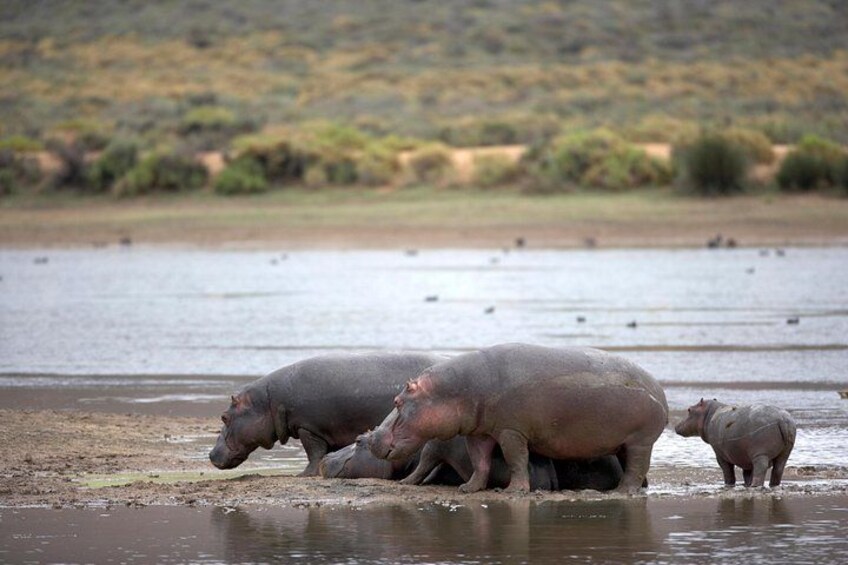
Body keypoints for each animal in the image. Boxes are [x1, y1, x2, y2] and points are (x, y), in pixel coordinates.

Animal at [209, 352, 447, 475]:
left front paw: (304, 474)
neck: (266, 401)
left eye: (224, 416)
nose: (211, 454)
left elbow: (314, 453)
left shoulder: (308, 427)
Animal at [369, 344, 668, 493]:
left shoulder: (511, 431)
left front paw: (514, 491)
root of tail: (659, 391)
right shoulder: (479, 433)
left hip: (640, 441)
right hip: (624, 444)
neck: (455, 391)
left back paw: (621, 492)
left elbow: (516, 459)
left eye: (397, 401)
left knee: (636, 468)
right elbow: (480, 462)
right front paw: (468, 489)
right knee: (635, 468)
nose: (369, 437)